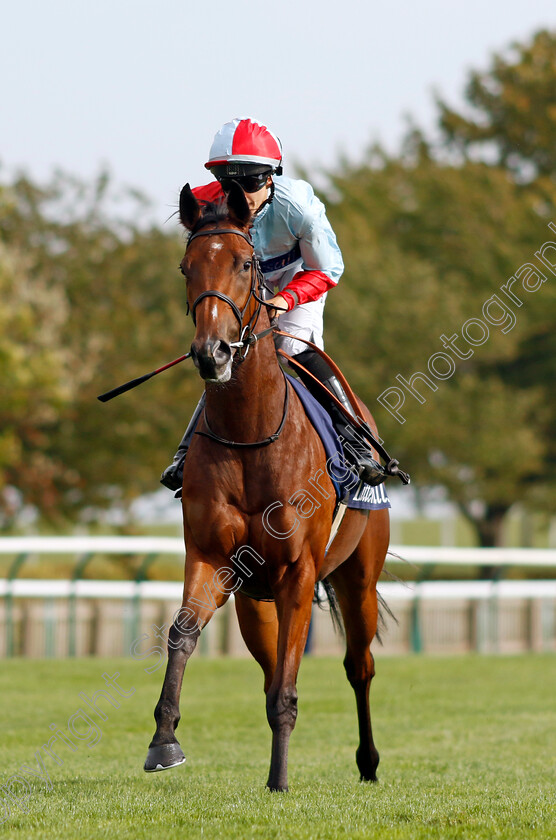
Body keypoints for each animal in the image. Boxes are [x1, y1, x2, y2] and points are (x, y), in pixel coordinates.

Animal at [148, 180, 390, 792]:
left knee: (359, 666)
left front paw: (280, 780)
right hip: (253, 600)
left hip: (358, 577)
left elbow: (289, 686)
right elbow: (182, 633)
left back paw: (368, 762)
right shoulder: (211, 556)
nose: (212, 352)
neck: (249, 434)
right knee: (267, 669)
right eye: (186, 267)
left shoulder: (300, 572)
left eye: (245, 262)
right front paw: (164, 740)